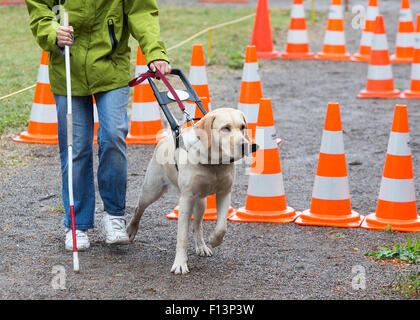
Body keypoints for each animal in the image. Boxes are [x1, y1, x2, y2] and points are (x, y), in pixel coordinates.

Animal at [126, 108, 254, 276]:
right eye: (225, 128)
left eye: (242, 127)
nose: (246, 146)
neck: (213, 163)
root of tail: (165, 139)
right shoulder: (186, 199)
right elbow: (182, 237)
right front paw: (180, 264)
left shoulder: (224, 193)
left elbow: (222, 227)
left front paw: (214, 240)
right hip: (151, 191)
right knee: (138, 209)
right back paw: (131, 230)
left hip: (201, 202)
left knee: (197, 225)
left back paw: (201, 246)